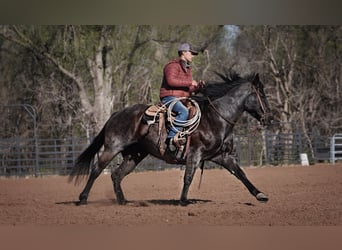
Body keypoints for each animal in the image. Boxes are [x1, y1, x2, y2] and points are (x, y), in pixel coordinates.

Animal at [69, 70, 272, 205]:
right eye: (261, 95)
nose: (269, 117)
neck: (216, 117)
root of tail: (115, 114)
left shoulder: (221, 156)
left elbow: (240, 173)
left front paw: (260, 195)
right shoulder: (195, 154)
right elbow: (188, 177)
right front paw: (183, 201)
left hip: (134, 155)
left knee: (117, 175)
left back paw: (123, 201)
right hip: (112, 147)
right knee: (96, 170)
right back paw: (82, 199)